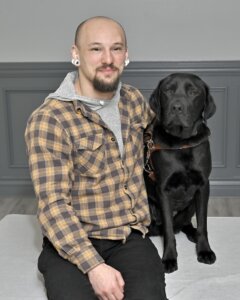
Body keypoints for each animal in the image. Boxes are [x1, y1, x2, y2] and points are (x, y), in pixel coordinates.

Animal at [144, 72, 218, 272]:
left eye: (193, 91)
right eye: (168, 91)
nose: (176, 107)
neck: (182, 144)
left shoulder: (203, 186)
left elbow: (203, 223)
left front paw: (204, 250)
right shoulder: (163, 189)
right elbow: (169, 231)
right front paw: (169, 257)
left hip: (191, 204)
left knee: (185, 223)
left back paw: (191, 233)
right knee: (163, 227)